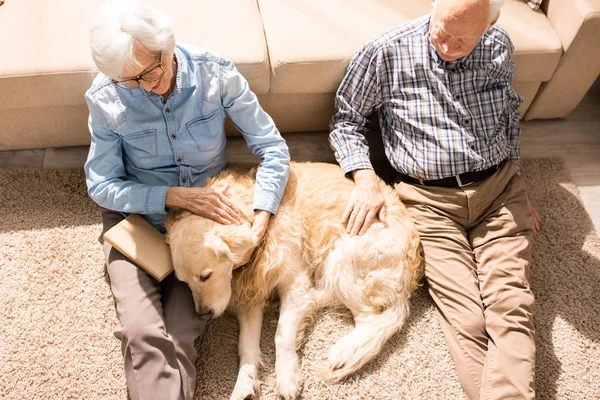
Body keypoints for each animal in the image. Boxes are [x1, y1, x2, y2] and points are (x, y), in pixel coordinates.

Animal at [164, 162, 422, 400]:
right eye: (184, 282)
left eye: (205, 276)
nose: (203, 314)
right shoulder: (251, 293)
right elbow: (245, 345)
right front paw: (244, 383)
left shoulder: (294, 282)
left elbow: (282, 334)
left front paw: (287, 377)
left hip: (343, 256)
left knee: (372, 318)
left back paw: (343, 350)